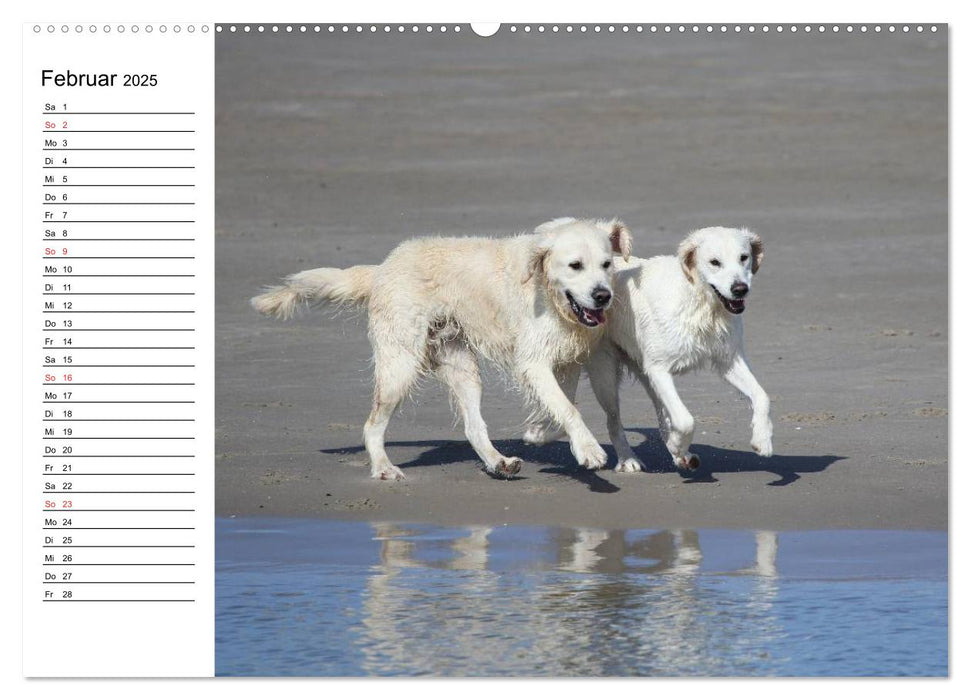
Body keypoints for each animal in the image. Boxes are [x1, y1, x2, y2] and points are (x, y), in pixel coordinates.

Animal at [249, 219, 636, 482]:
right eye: (575, 265)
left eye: (606, 264)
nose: (603, 296)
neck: (551, 297)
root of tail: (384, 267)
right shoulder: (534, 361)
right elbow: (567, 409)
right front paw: (588, 450)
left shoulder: (566, 359)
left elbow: (561, 407)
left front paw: (540, 432)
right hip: (400, 364)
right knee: (372, 424)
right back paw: (384, 468)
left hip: (462, 366)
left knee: (474, 426)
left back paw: (499, 462)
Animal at [524, 227, 776, 474]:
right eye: (715, 262)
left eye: (744, 257)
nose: (740, 289)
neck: (700, 302)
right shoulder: (658, 369)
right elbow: (686, 420)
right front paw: (678, 444)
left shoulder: (728, 360)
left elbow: (762, 396)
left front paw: (762, 439)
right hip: (605, 374)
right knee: (613, 419)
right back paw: (628, 459)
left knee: (660, 415)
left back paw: (680, 455)